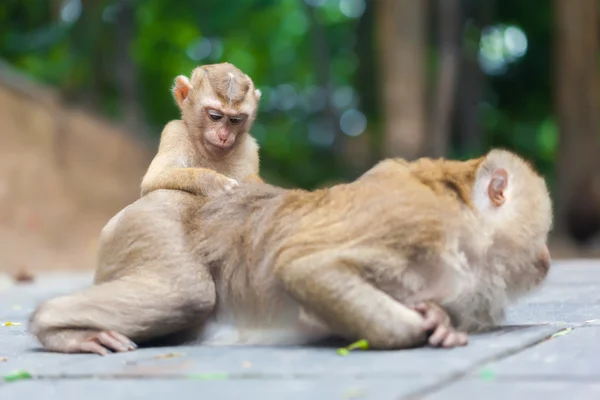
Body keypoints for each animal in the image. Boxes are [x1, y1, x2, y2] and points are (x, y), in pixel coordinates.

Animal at [29, 149, 552, 354]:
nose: (548, 261)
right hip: (153, 228)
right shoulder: (417, 221)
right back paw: (59, 328)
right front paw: (420, 329)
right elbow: (304, 266)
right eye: (542, 234)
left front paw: (440, 320)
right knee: (186, 293)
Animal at [142, 62, 264, 198]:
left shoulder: (250, 149)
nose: (223, 136)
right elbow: (153, 180)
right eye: (215, 116)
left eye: (235, 120)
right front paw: (216, 183)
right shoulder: (175, 132)